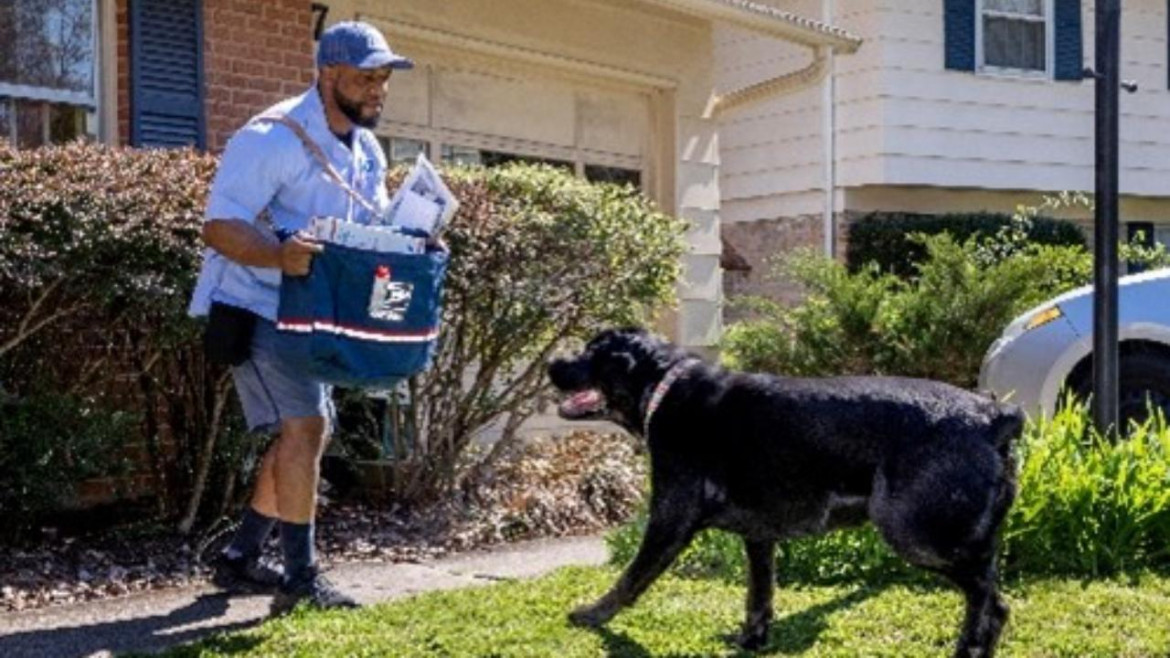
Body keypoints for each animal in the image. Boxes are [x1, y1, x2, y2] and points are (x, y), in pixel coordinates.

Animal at [552, 325, 1020, 650]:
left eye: (591, 353)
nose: (550, 363)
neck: (664, 387)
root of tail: (994, 416)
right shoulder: (760, 536)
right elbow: (759, 595)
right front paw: (752, 640)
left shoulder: (669, 520)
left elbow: (630, 577)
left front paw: (593, 615)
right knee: (991, 596)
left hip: (915, 534)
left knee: (989, 599)